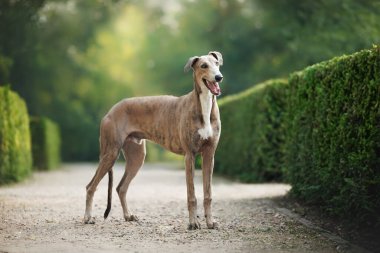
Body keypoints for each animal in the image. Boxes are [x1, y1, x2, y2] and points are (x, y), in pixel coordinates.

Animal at [84, 51, 223, 229]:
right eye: (204, 65)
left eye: (216, 63)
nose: (219, 77)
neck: (203, 105)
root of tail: (110, 111)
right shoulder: (189, 156)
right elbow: (191, 195)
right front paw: (193, 223)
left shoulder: (209, 155)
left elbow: (208, 194)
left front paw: (210, 222)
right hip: (110, 153)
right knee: (90, 186)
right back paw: (88, 217)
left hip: (136, 157)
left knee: (121, 187)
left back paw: (128, 215)